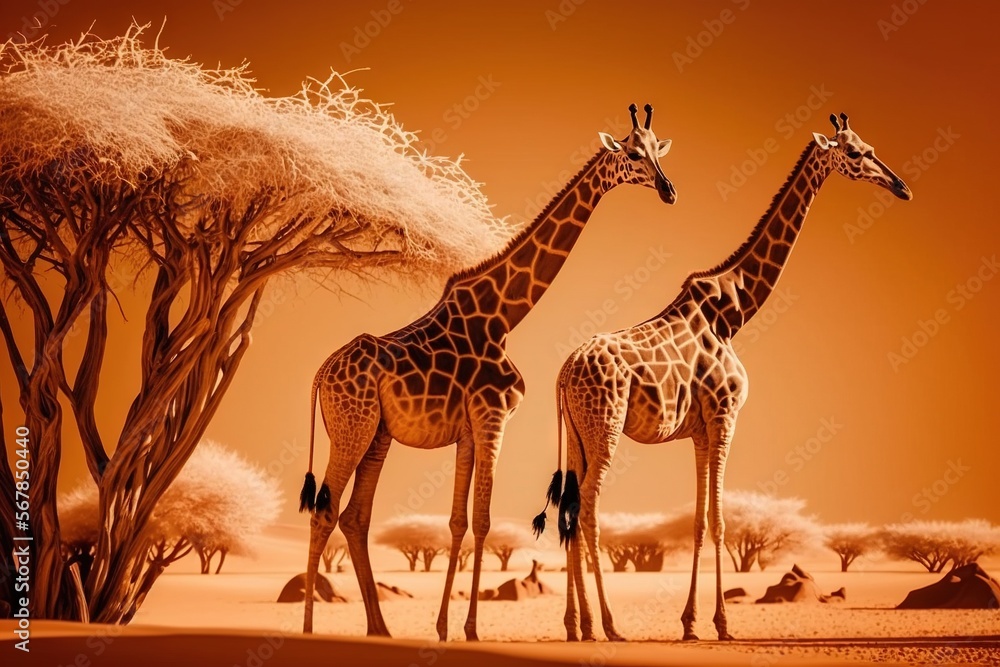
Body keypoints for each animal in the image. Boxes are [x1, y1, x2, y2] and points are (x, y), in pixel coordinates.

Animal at [299, 104, 677, 641]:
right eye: (631, 153)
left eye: (656, 150)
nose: (668, 190)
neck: (502, 316)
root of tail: (318, 375)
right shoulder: (494, 416)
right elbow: (482, 519)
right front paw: (472, 629)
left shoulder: (468, 429)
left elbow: (459, 520)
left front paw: (443, 627)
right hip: (352, 429)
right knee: (326, 511)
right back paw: (311, 628)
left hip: (376, 435)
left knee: (355, 516)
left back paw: (380, 628)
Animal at [533, 113, 912, 642]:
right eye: (856, 154)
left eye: (870, 147)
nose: (901, 187)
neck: (735, 313)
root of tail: (564, 372)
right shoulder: (726, 416)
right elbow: (719, 520)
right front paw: (722, 624)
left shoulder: (699, 429)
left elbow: (697, 521)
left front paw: (690, 623)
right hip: (604, 426)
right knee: (588, 504)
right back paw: (605, 625)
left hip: (577, 434)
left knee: (569, 507)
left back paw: (574, 625)